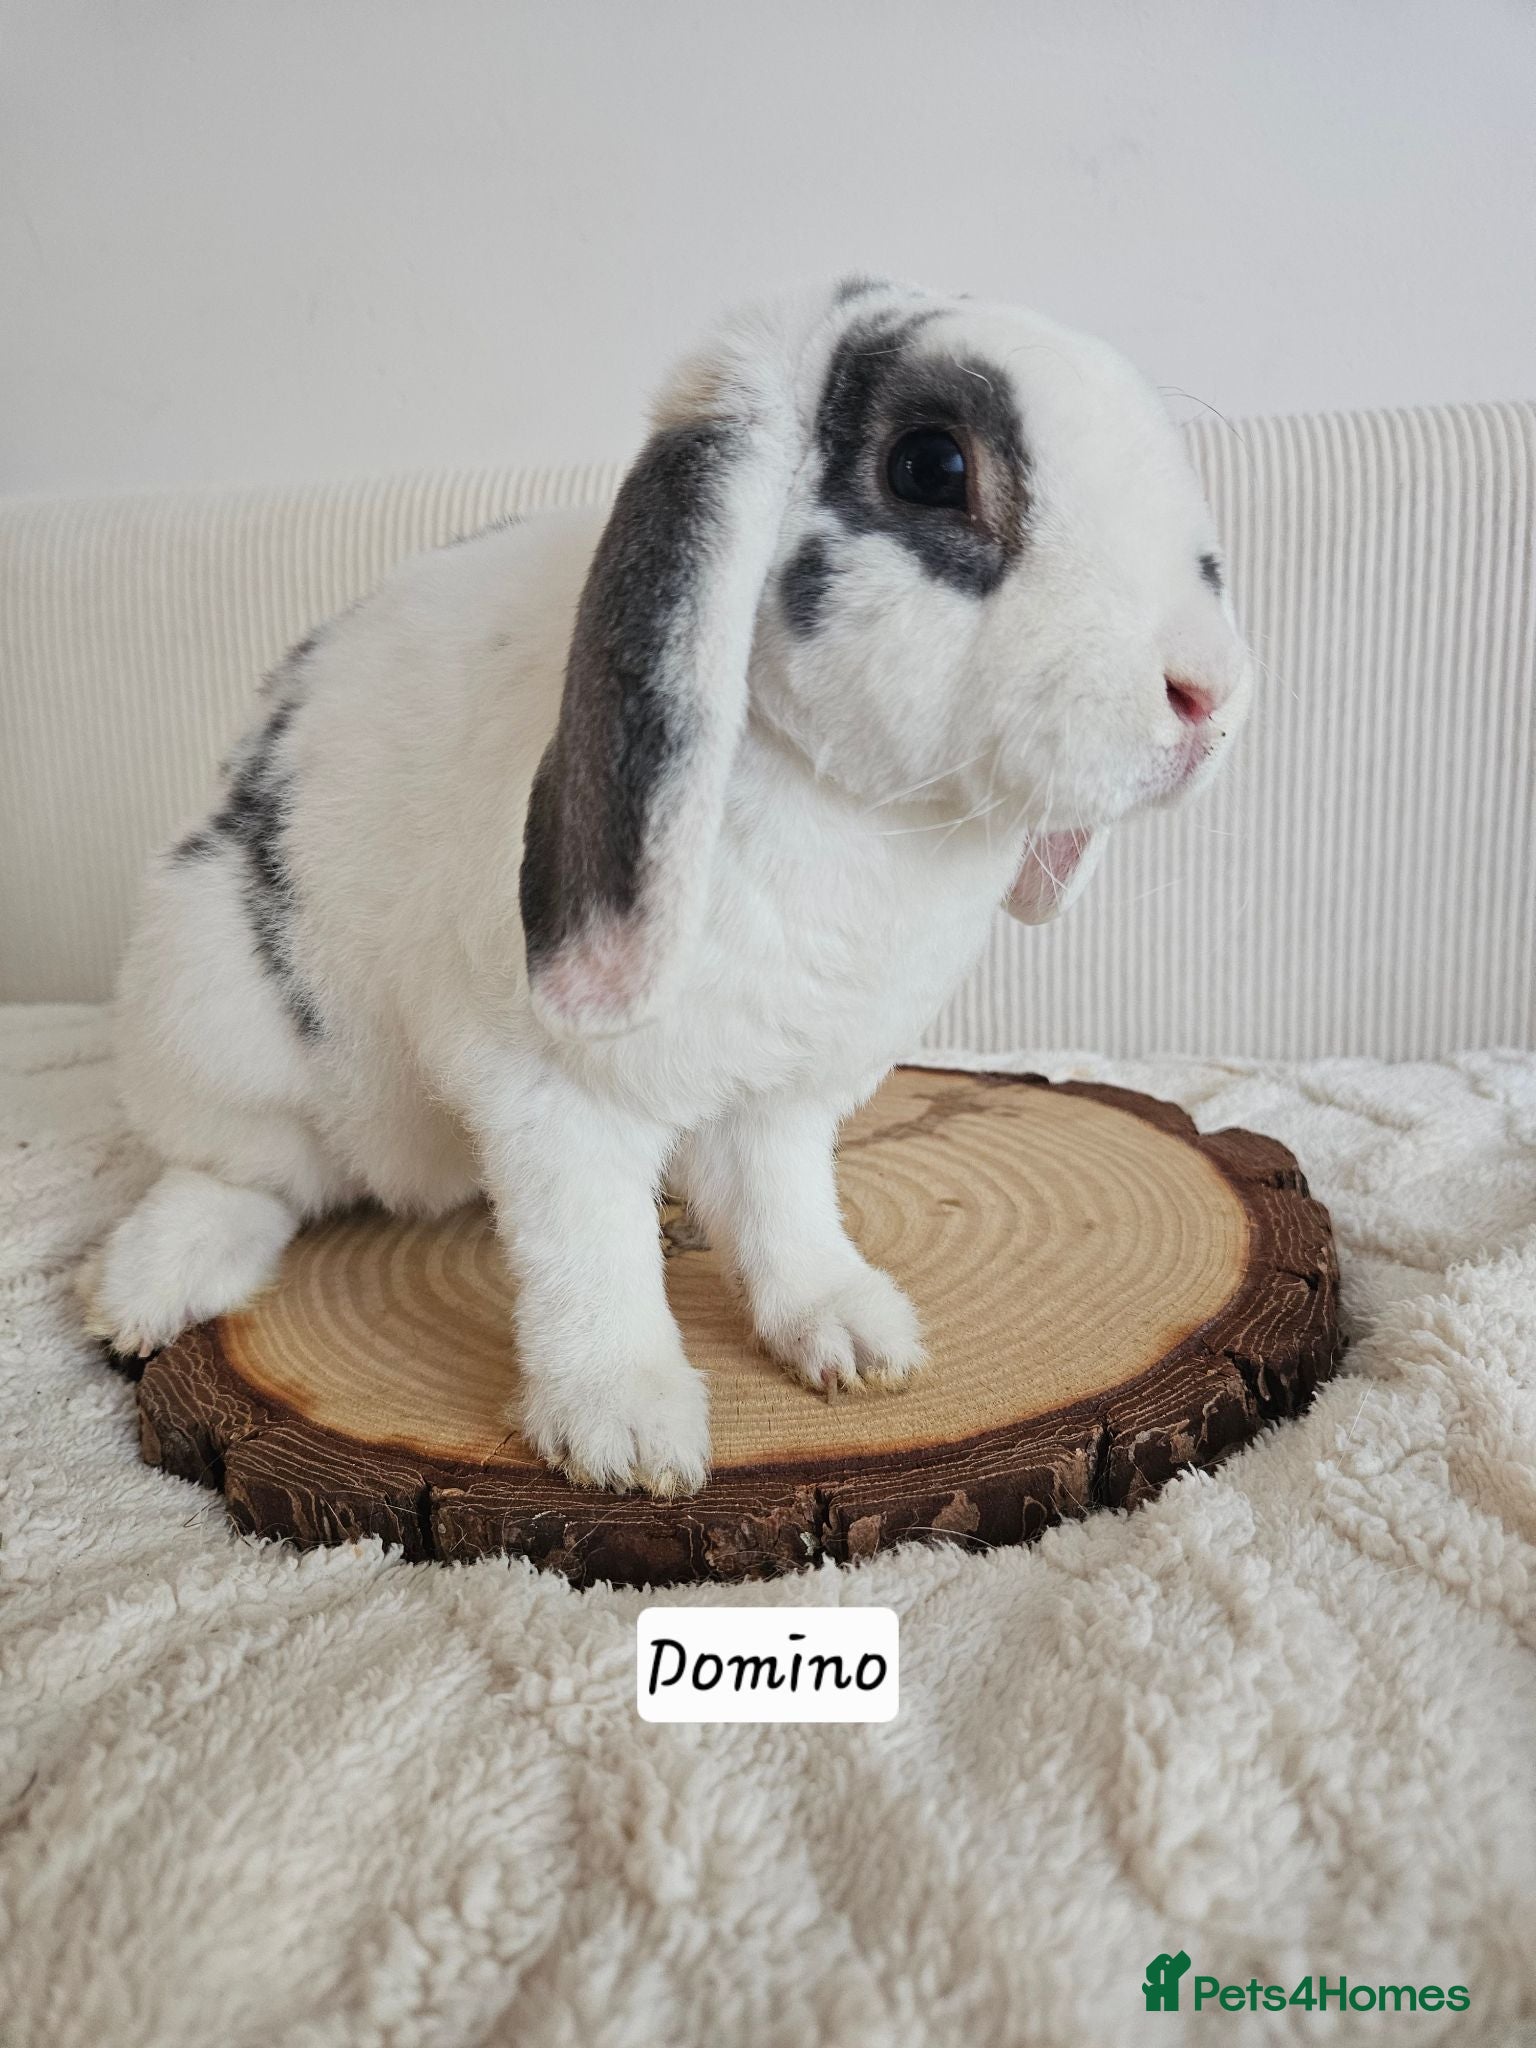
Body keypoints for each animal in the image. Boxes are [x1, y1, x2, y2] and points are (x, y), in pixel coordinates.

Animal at [82, 275, 1252, 1498]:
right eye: (931, 466)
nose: (1210, 692)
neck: (858, 816)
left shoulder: (782, 1095)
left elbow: (788, 1211)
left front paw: (851, 1335)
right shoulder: (551, 1092)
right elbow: (588, 1249)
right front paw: (625, 1430)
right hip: (213, 1006)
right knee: (244, 1169)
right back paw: (149, 1287)